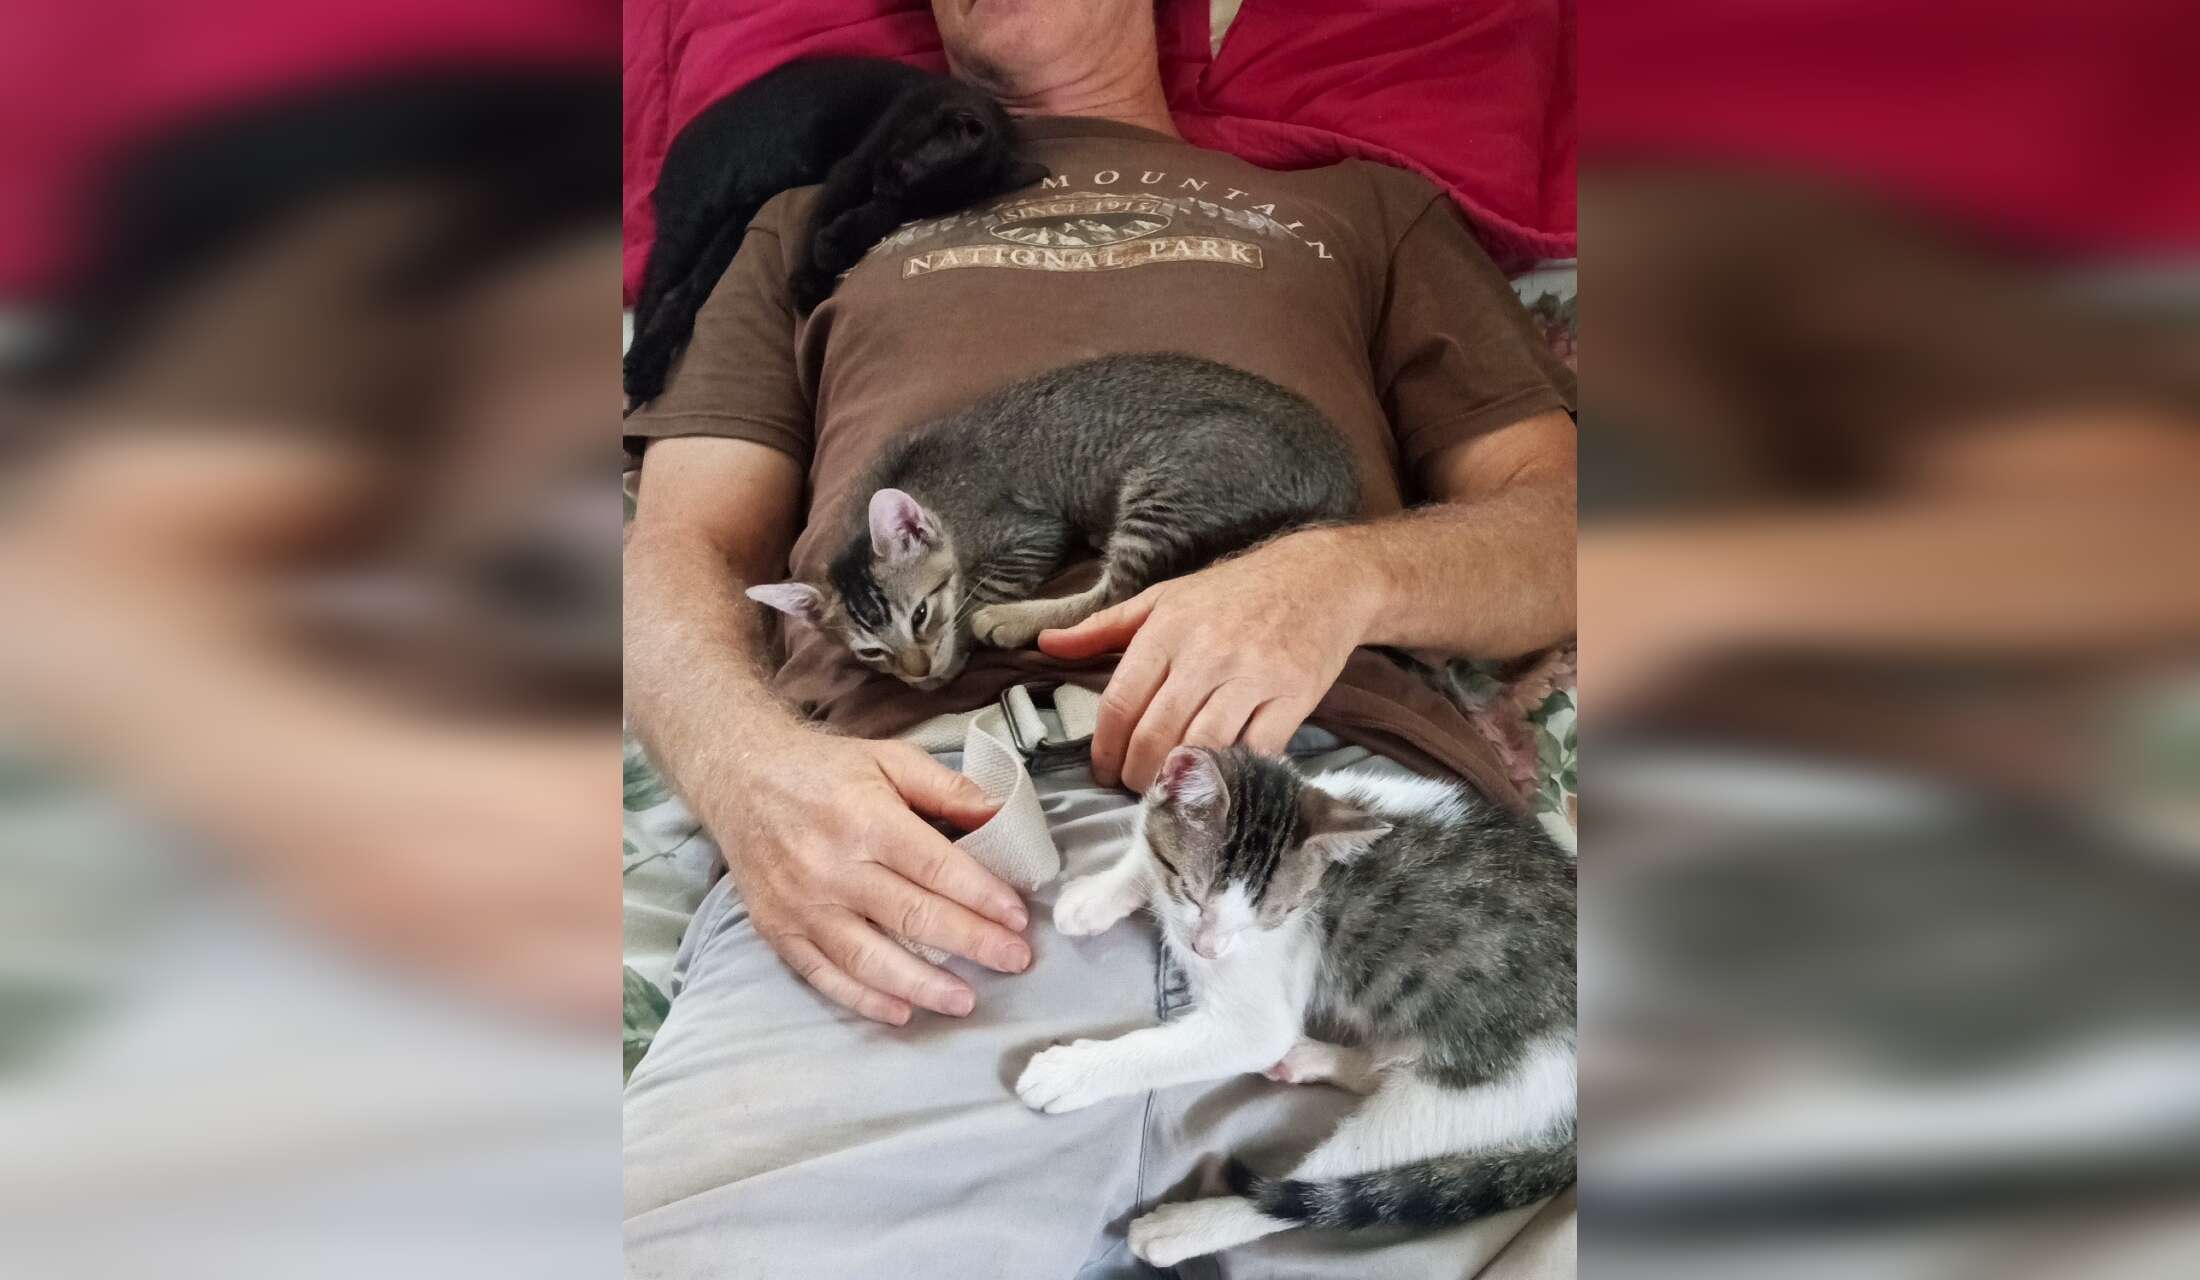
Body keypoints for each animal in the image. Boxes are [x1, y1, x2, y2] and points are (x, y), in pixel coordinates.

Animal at [624, 57, 1041, 411]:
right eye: (902, 171)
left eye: (919, 208)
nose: (883, 184)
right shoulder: (855, 166)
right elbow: (828, 209)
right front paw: (812, 277)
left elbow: (874, 215)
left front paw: (837, 244)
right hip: (695, 220)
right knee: (662, 291)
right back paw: (640, 371)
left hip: (734, 227)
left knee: (682, 293)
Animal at [744, 353, 1360, 689]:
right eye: (870, 651)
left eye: (920, 614)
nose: (916, 670)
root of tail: (1343, 480)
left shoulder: (1031, 532)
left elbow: (981, 589)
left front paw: (958, 644)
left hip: (1171, 479)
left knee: (1116, 593)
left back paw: (1013, 620)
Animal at [1016, 745, 1577, 1266]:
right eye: (1193, 894)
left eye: (1270, 916)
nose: (1206, 949)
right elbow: (1145, 841)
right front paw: (1096, 896)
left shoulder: (1258, 1013)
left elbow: (1187, 1046)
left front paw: (1070, 1072)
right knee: (1386, 1069)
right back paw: (1318, 1060)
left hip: (1480, 1087)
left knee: (1317, 1187)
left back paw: (1185, 1227)